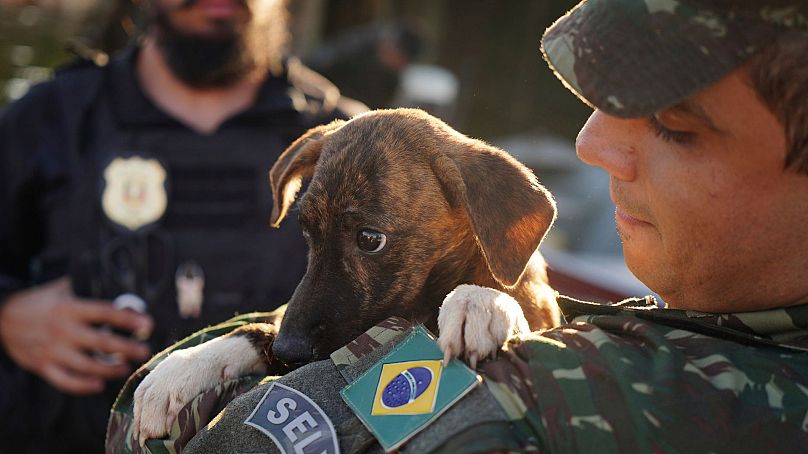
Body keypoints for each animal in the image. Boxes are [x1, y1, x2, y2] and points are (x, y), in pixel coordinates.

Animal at [134, 109, 560, 444]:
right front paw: (181, 369)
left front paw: (479, 302)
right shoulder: (286, 319)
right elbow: (258, 325)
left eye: (370, 239)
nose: (287, 353)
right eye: (307, 232)